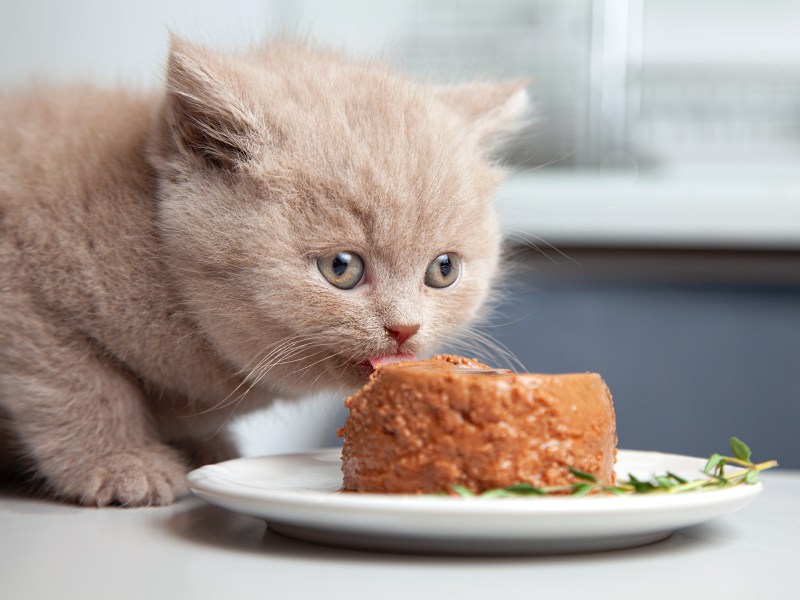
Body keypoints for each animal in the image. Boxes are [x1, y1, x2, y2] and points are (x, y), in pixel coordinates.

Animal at [0, 36, 528, 506]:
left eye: (443, 270)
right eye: (341, 267)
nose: (405, 328)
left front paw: (202, 448)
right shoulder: (24, 289)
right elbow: (79, 385)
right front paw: (122, 462)